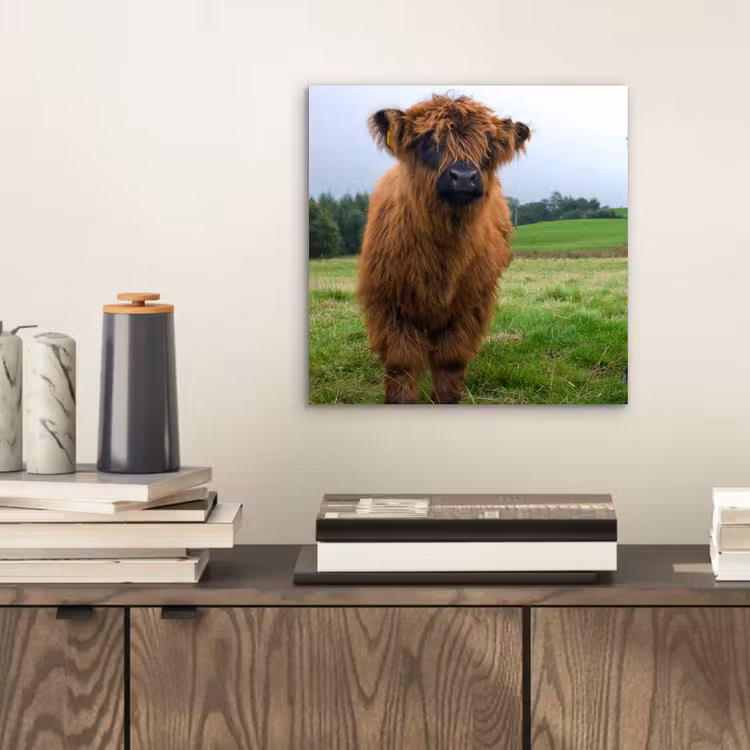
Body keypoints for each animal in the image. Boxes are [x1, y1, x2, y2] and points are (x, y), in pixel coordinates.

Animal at [357, 94, 530, 404]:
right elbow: (402, 364)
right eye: (428, 142)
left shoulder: (470, 306)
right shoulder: (390, 304)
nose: (463, 176)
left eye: (488, 146)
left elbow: (451, 361)